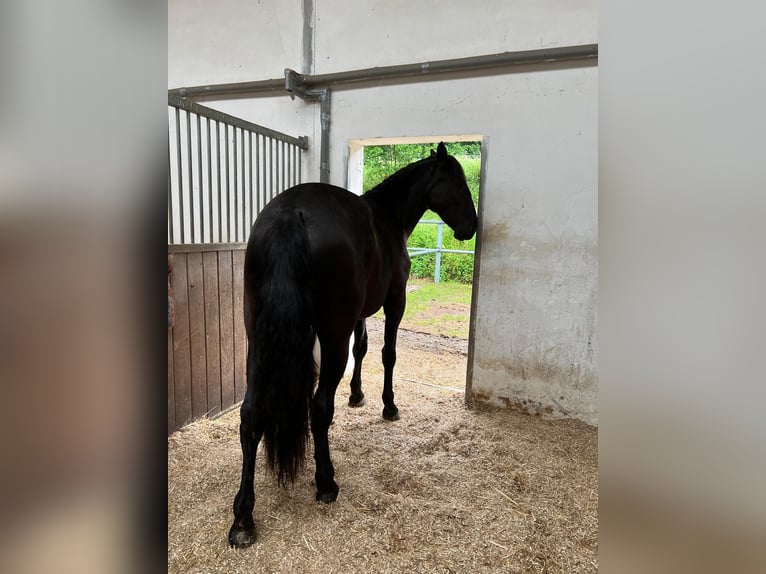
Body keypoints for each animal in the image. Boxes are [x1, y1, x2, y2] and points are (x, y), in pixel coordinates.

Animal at [228, 142, 478, 548]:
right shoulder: (394, 302)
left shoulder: (361, 313)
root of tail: (290, 213)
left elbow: (362, 348)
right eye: (455, 180)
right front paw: (388, 406)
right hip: (332, 334)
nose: (471, 226)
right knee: (319, 407)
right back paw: (326, 482)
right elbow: (387, 354)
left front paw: (357, 394)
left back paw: (243, 519)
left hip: (259, 339)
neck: (388, 218)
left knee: (251, 414)